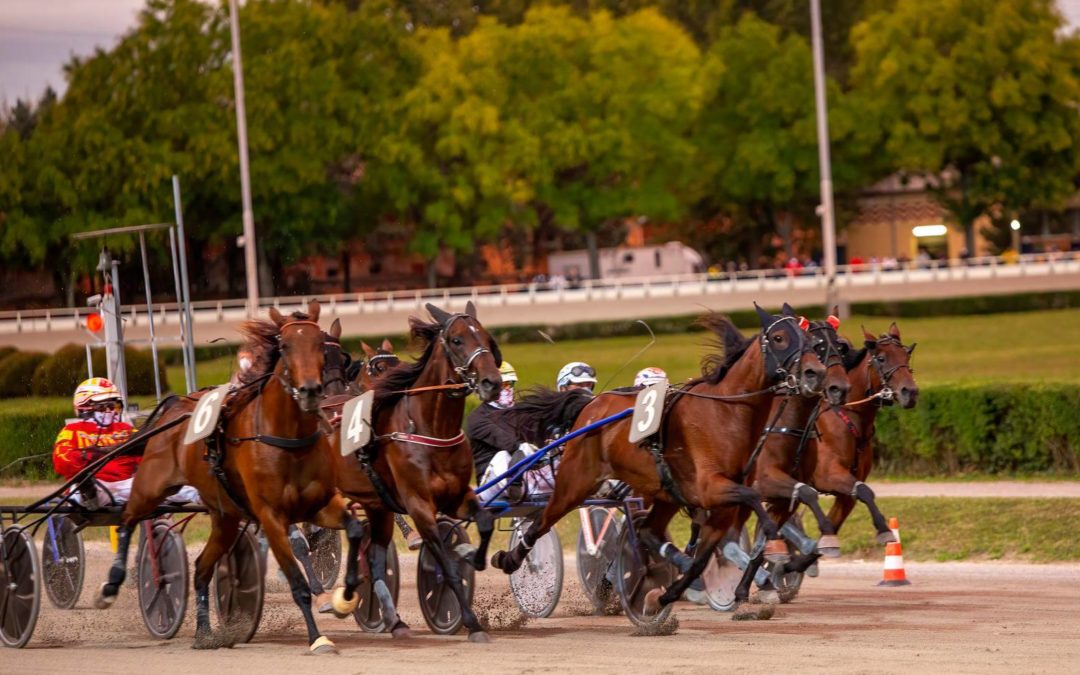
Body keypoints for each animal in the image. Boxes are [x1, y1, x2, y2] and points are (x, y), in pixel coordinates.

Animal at [94, 302, 362, 652]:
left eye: (323, 346)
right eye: (285, 347)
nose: (311, 391)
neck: (288, 438)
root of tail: (176, 406)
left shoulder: (319, 504)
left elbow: (355, 529)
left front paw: (346, 598)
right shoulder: (272, 516)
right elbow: (297, 579)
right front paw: (318, 638)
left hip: (225, 518)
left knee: (200, 568)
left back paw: (205, 634)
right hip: (150, 487)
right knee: (127, 519)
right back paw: (110, 587)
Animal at [334, 302, 503, 643]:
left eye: (487, 338)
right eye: (456, 340)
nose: (492, 382)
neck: (431, 428)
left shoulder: (456, 496)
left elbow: (484, 521)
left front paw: (473, 555)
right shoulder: (419, 505)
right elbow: (445, 566)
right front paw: (472, 622)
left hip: (377, 506)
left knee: (373, 556)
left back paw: (393, 620)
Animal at [494, 304, 829, 622]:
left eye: (809, 340)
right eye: (779, 338)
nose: (816, 373)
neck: (726, 412)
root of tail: (590, 404)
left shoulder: (721, 503)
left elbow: (702, 559)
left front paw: (664, 596)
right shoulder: (711, 488)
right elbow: (755, 498)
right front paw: (778, 543)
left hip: (665, 494)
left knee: (647, 531)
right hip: (575, 482)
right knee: (541, 521)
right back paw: (509, 559)